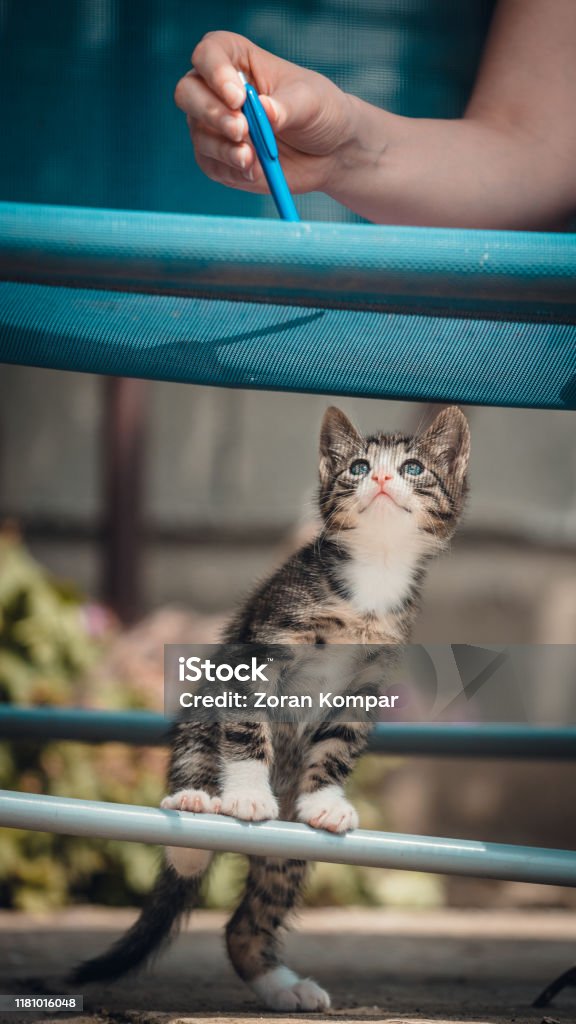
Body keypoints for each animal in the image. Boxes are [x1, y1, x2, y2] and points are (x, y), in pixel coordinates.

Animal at [70, 403, 467, 1011]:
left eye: (414, 468)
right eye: (357, 466)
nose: (379, 477)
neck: (368, 582)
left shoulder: (367, 684)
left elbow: (335, 748)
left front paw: (325, 801)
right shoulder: (258, 654)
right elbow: (248, 732)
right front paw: (249, 795)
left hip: (285, 857)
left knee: (246, 922)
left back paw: (281, 985)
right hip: (200, 711)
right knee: (190, 829)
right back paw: (196, 809)